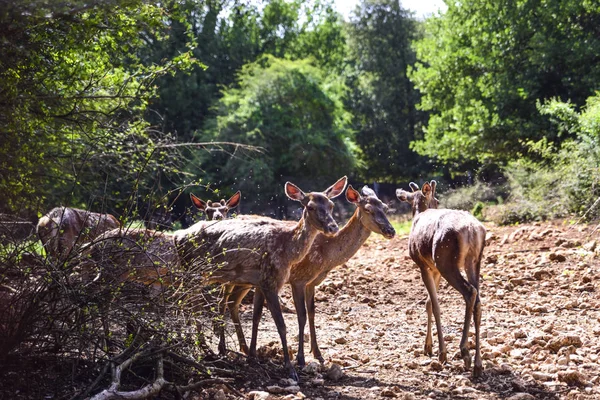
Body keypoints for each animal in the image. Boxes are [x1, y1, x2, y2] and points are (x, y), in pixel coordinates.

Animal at [173, 177, 346, 380]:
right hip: (192, 271)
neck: (288, 251)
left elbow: (257, 316)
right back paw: (194, 345)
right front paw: (290, 368)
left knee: (186, 301)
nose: (333, 227)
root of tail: (176, 236)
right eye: (310, 207)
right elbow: (281, 324)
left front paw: (252, 357)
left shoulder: (260, 282)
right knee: (182, 300)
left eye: (331, 205)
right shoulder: (270, 280)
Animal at [396, 181, 486, 378]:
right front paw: (427, 346)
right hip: (474, 261)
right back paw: (478, 363)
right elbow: (429, 302)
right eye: (437, 200)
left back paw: (464, 352)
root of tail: (471, 230)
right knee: (478, 299)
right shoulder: (434, 269)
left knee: (470, 292)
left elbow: (435, 304)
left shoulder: (423, 265)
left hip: (445, 259)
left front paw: (441, 352)